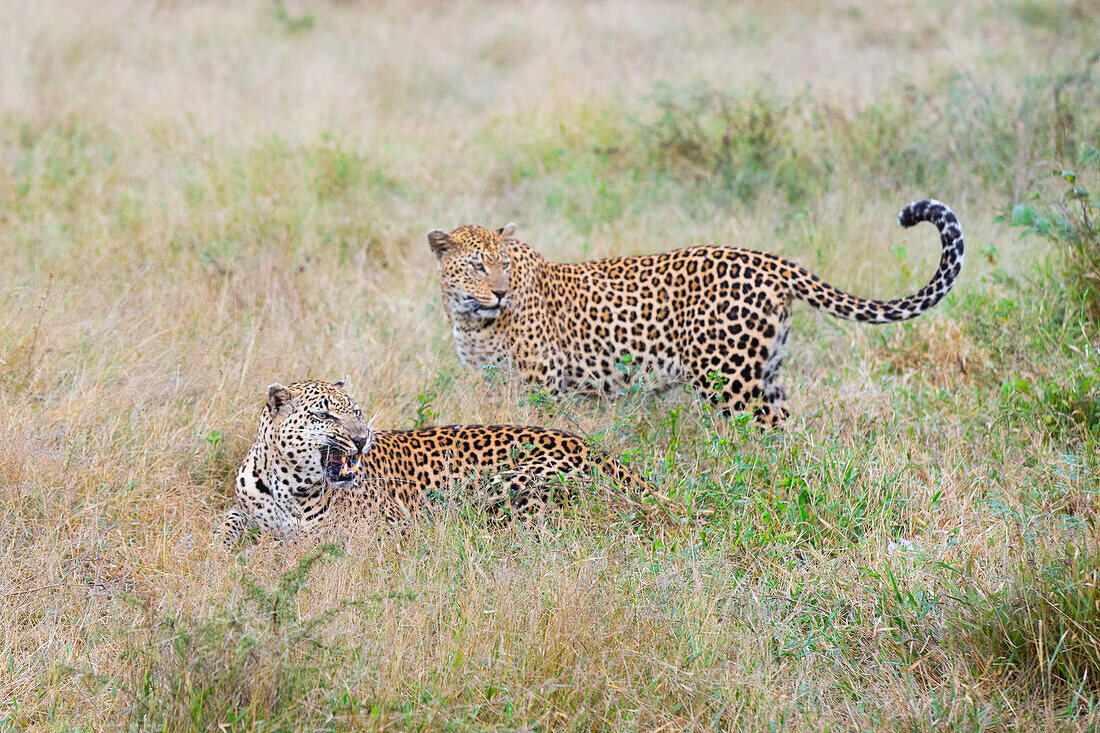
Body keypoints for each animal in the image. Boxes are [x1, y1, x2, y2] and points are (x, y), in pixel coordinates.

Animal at [218, 376, 655, 541]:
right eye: (324, 416)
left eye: (356, 412)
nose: (361, 439)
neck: (288, 483)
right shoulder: (242, 507)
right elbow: (225, 528)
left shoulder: (383, 528)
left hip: (508, 486)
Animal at [426, 197, 963, 424]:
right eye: (477, 266)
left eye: (503, 265)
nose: (499, 293)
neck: (470, 320)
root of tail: (772, 260)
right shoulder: (492, 382)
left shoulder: (540, 382)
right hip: (764, 370)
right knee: (788, 426)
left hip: (727, 379)